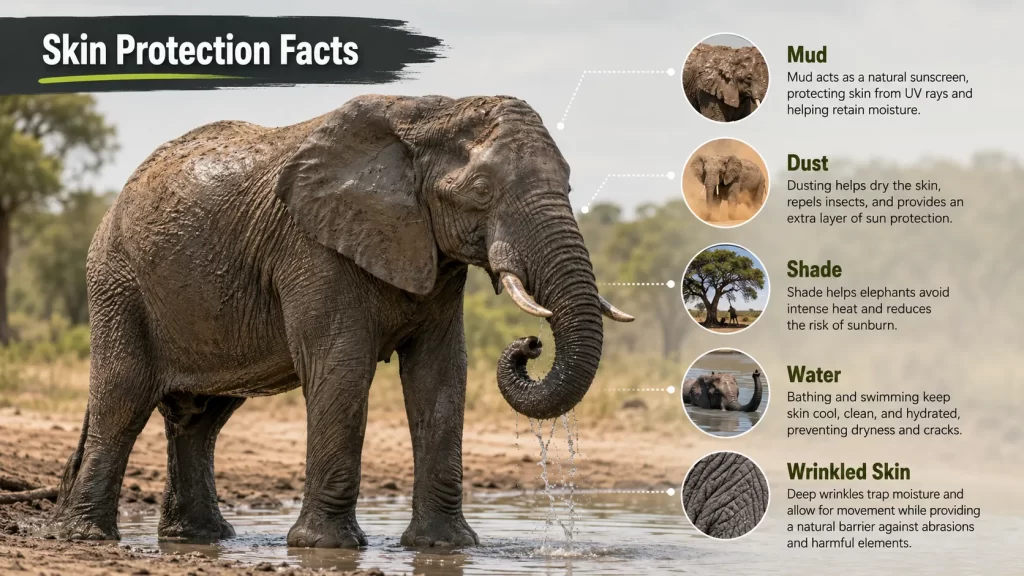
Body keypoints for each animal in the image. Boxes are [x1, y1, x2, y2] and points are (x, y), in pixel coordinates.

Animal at [48, 94, 634, 548]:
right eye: (482, 191)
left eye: (569, 187)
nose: (530, 344)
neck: (432, 112)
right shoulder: (312, 249)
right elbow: (342, 368)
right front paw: (326, 548)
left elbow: (441, 377)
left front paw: (446, 547)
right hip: (118, 281)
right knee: (123, 398)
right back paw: (88, 538)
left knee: (200, 418)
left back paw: (200, 539)